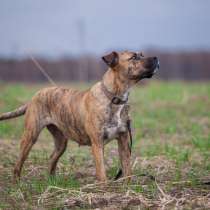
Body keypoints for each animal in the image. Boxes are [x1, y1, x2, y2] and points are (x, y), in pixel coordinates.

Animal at [0, 50, 159, 181]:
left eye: (142, 54)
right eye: (134, 57)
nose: (156, 58)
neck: (114, 97)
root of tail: (34, 96)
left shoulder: (124, 141)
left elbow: (127, 170)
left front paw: (127, 188)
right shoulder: (97, 143)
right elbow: (102, 173)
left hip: (61, 142)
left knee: (52, 159)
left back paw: (52, 182)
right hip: (30, 136)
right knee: (18, 163)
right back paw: (17, 184)